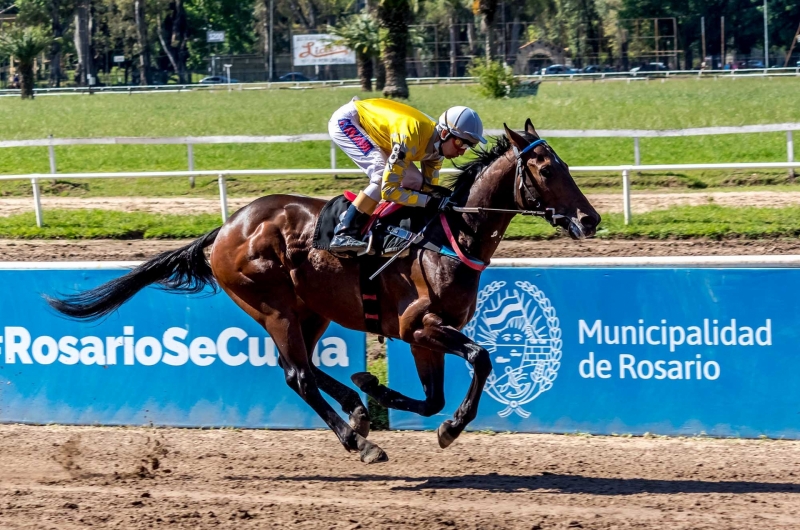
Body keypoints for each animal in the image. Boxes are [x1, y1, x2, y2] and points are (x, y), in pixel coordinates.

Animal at [48, 119, 600, 462]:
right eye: (547, 169)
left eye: (567, 165)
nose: (589, 219)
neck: (449, 237)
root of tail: (224, 229)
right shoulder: (419, 326)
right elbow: (480, 360)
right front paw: (448, 427)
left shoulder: (422, 336)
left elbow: (432, 400)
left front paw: (375, 387)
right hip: (272, 306)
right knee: (297, 375)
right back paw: (361, 442)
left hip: (311, 310)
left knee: (301, 366)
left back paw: (356, 410)